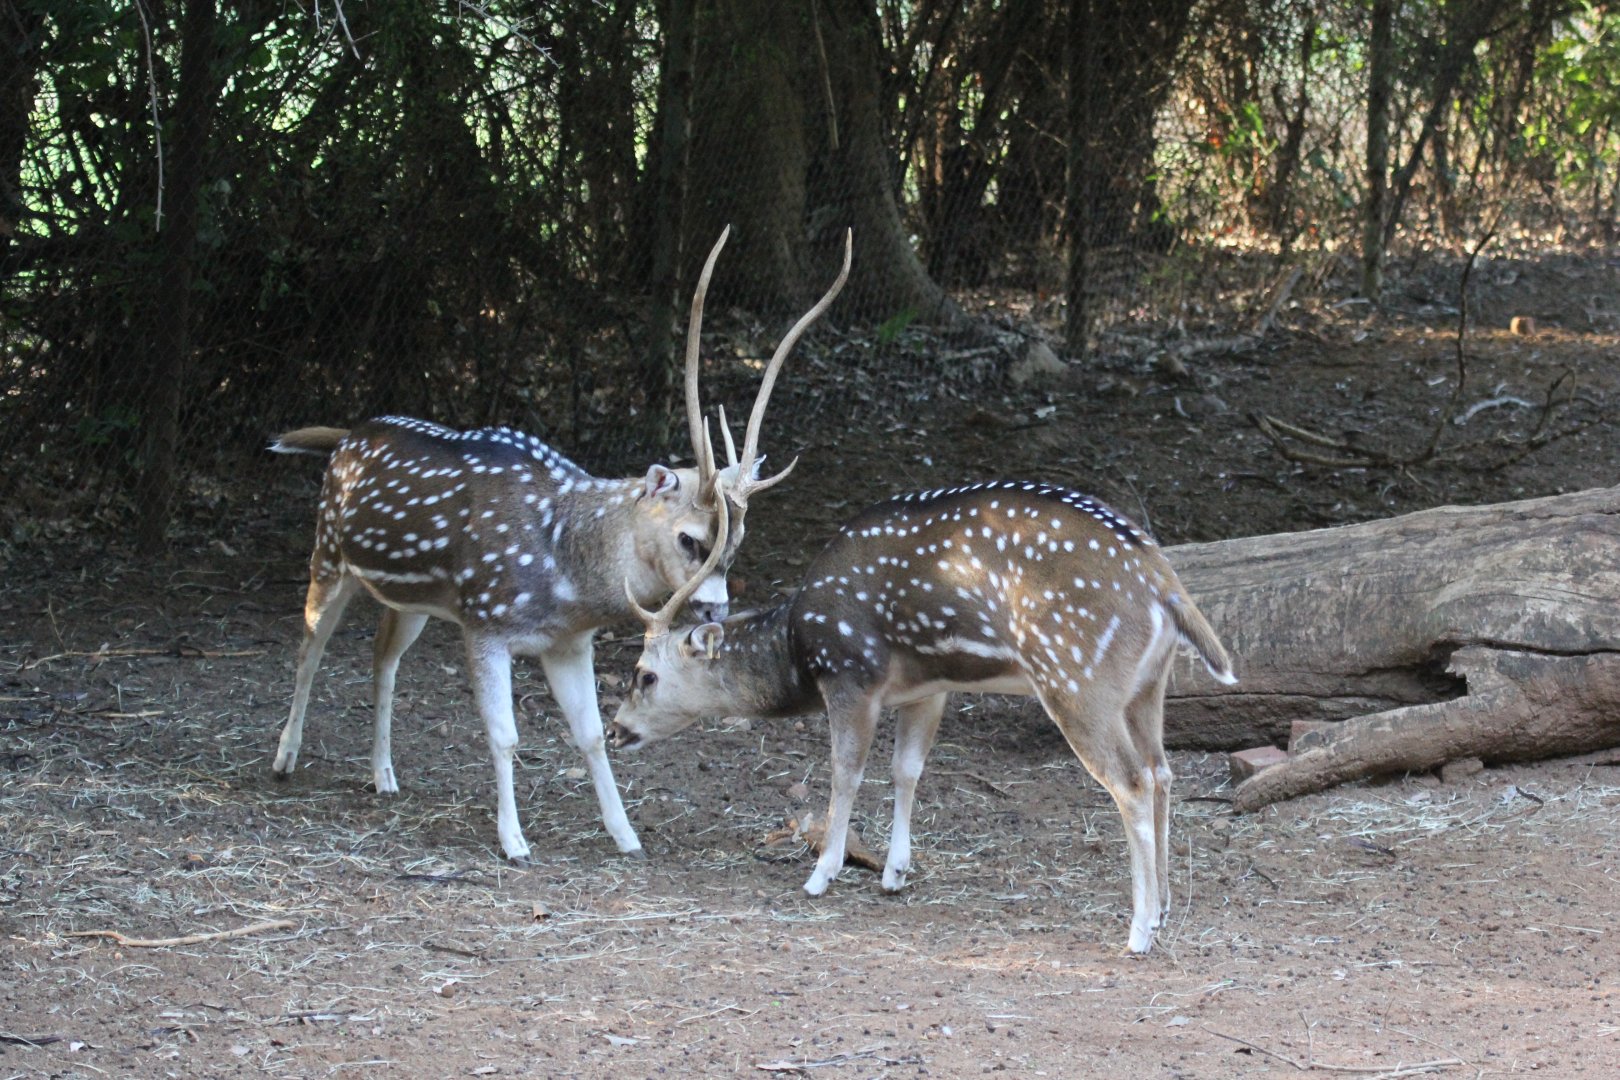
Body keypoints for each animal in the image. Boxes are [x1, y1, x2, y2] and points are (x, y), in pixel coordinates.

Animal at [267, 228, 851, 864]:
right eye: (690, 539)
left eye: (738, 543)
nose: (714, 610)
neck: (567, 577)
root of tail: (345, 437)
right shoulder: (485, 622)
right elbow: (504, 734)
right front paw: (513, 840)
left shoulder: (569, 641)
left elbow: (590, 733)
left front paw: (626, 835)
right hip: (328, 551)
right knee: (308, 645)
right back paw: (284, 760)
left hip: (411, 600)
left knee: (383, 657)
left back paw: (384, 775)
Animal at [607, 480, 1236, 954]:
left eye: (645, 674)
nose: (616, 730)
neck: (799, 649)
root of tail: (1166, 586)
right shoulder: (927, 687)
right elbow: (906, 769)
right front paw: (894, 873)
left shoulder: (851, 674)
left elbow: (846, 771)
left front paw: (820, 875)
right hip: (1146, 689)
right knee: (1161, 771)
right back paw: (1164, 908)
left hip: (1078, 680)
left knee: (1130, 781)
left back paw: (1139, 930)